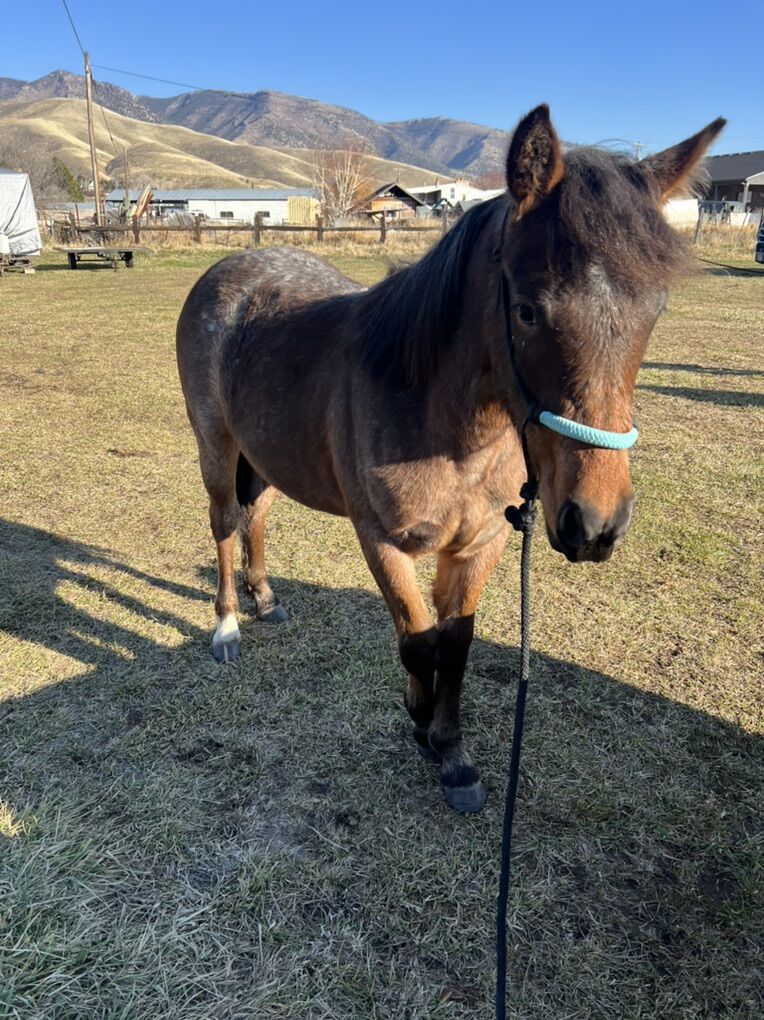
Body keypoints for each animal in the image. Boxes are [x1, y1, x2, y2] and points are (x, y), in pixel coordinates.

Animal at [176, 105, 724, 813]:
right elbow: (416, 641)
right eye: (527, 310)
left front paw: (452, 751)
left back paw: (266, 598)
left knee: (257, 517)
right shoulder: (382, 541)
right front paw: (418, 718)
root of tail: (231, 268)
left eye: (653, 313)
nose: (595, 524)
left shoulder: (480, 542)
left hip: (267, 456)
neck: (444, 424)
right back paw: (227, 626)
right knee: (223, 523)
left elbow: (455, 646)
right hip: (217, 447)